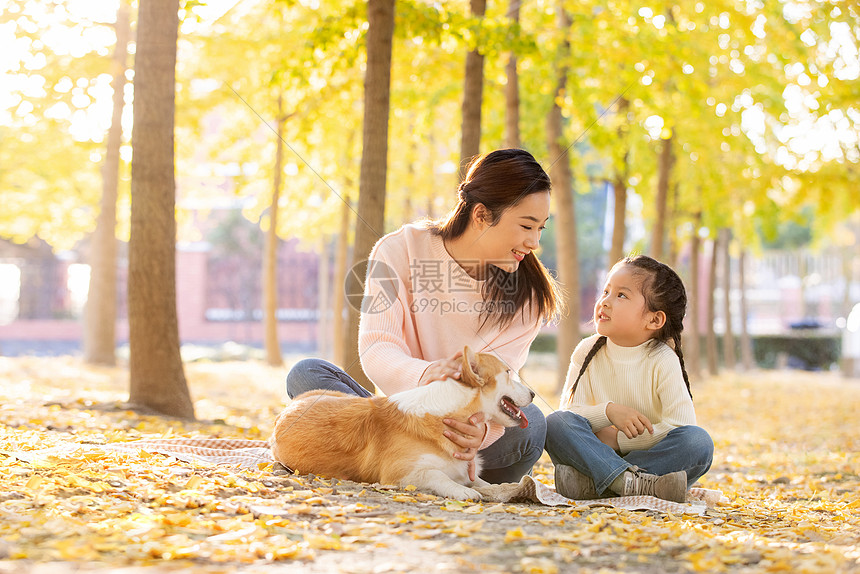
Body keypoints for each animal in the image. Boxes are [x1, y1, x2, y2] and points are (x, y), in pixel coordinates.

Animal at [272, 348, 536, 502]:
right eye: (508, 372)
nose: (534, 393)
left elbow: (485, 483)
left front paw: (503, 488)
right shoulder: (401, 473)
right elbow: (439, 476)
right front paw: (462, 490)